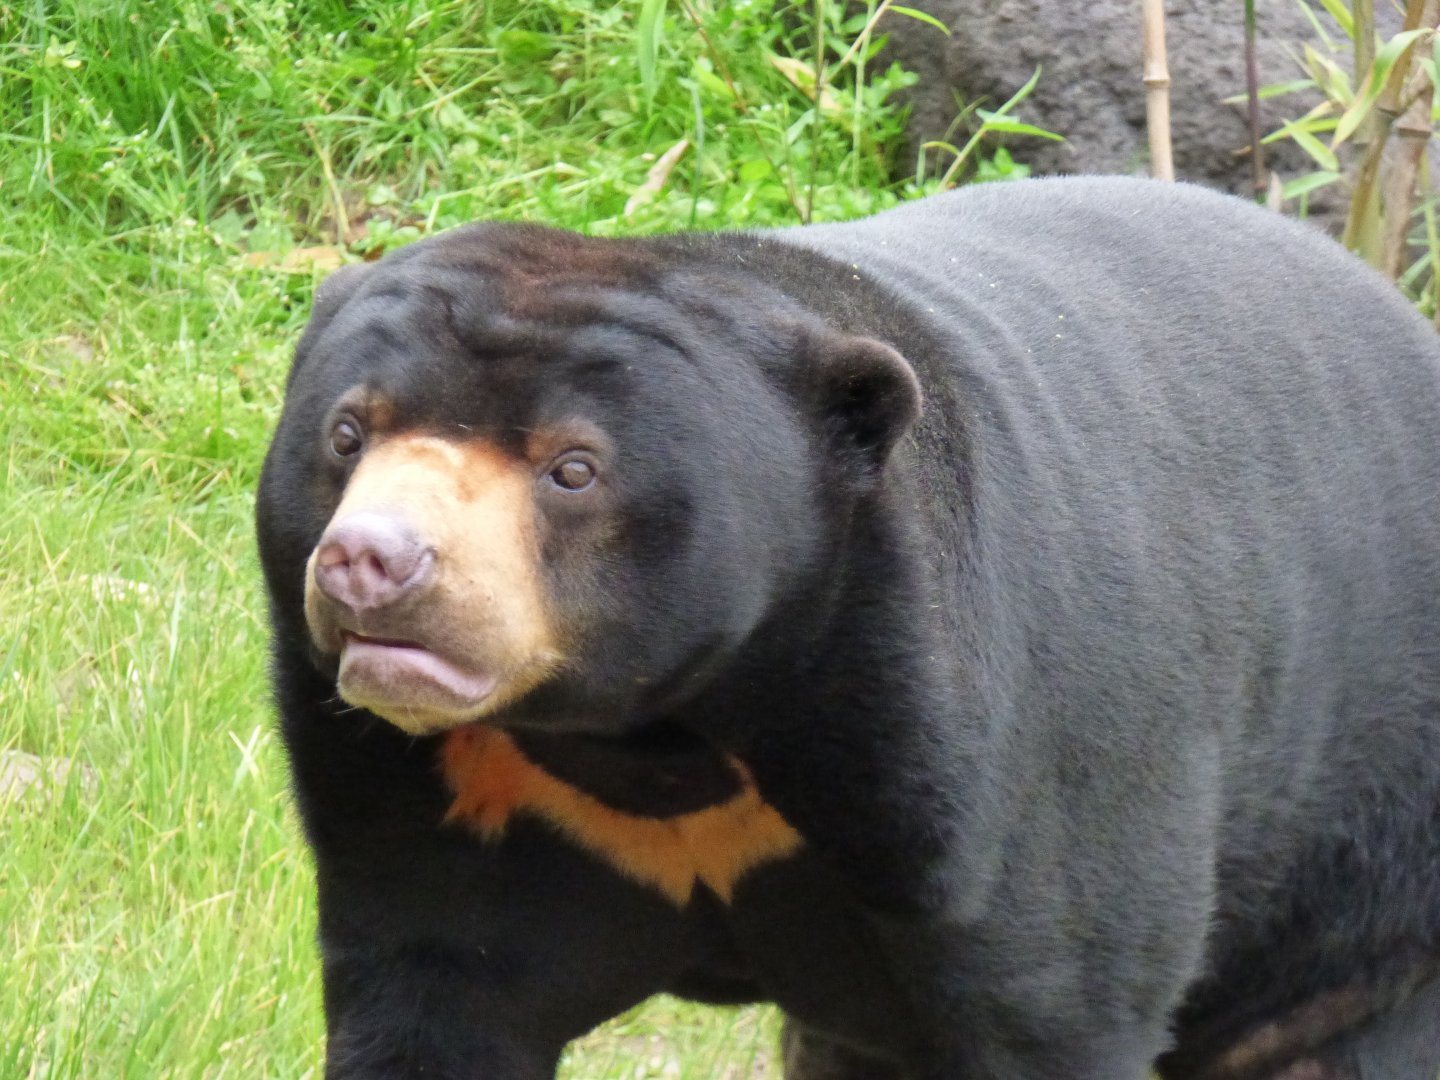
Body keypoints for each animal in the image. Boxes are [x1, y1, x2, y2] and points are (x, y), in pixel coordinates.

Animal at [255, 176, 1440, 1080]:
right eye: (348, 432)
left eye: (574, 467)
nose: (371, 563)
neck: (660, 731)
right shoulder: (438, 798)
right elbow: (432, 992)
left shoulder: (985, 766)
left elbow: (1053, 995)